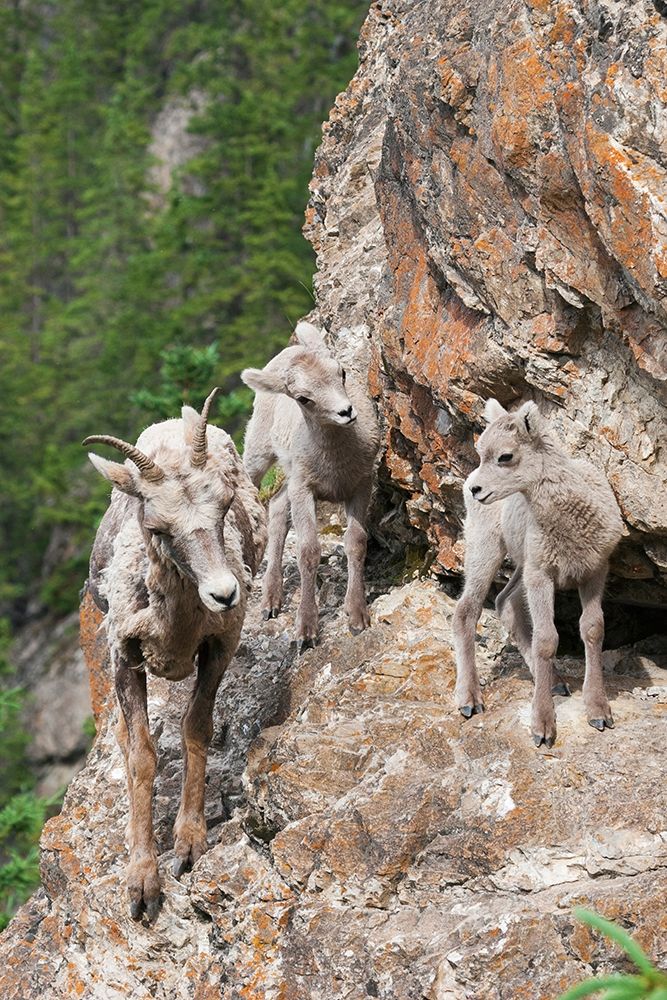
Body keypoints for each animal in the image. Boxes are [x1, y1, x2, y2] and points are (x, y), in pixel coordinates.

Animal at [84, 388, 266, 920]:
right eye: (158, 526)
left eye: (224, 506)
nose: (225, 594)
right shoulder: (125, 657)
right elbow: (142, 755)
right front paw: (142, 885)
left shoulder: (220, 646)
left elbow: (195, 728)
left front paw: (188, 845)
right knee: (125, 742)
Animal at [241, 322, 380, 650]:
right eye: (303, 398)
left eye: (342, 372)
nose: (346, 412)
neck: (336, 465)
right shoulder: (304, 488)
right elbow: (308, 551)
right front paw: (306, 630)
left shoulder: (361, 483)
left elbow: (356, 540)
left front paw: (357, 615)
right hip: (259, 451)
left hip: (289, 475)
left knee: (277, 508)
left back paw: (272, 600)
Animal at [452, 398, 623, 747]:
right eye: (481, 450)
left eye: (505, 456)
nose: (477, 489)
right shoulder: (541, 576)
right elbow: (547, 639)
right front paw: (543, 727)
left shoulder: (594, 570)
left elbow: (593, 630)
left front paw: (599, 712)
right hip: (486, 548)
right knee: (466, 610)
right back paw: (470, 700)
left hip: (522, 564)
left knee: (505, 602)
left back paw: (556, 681)